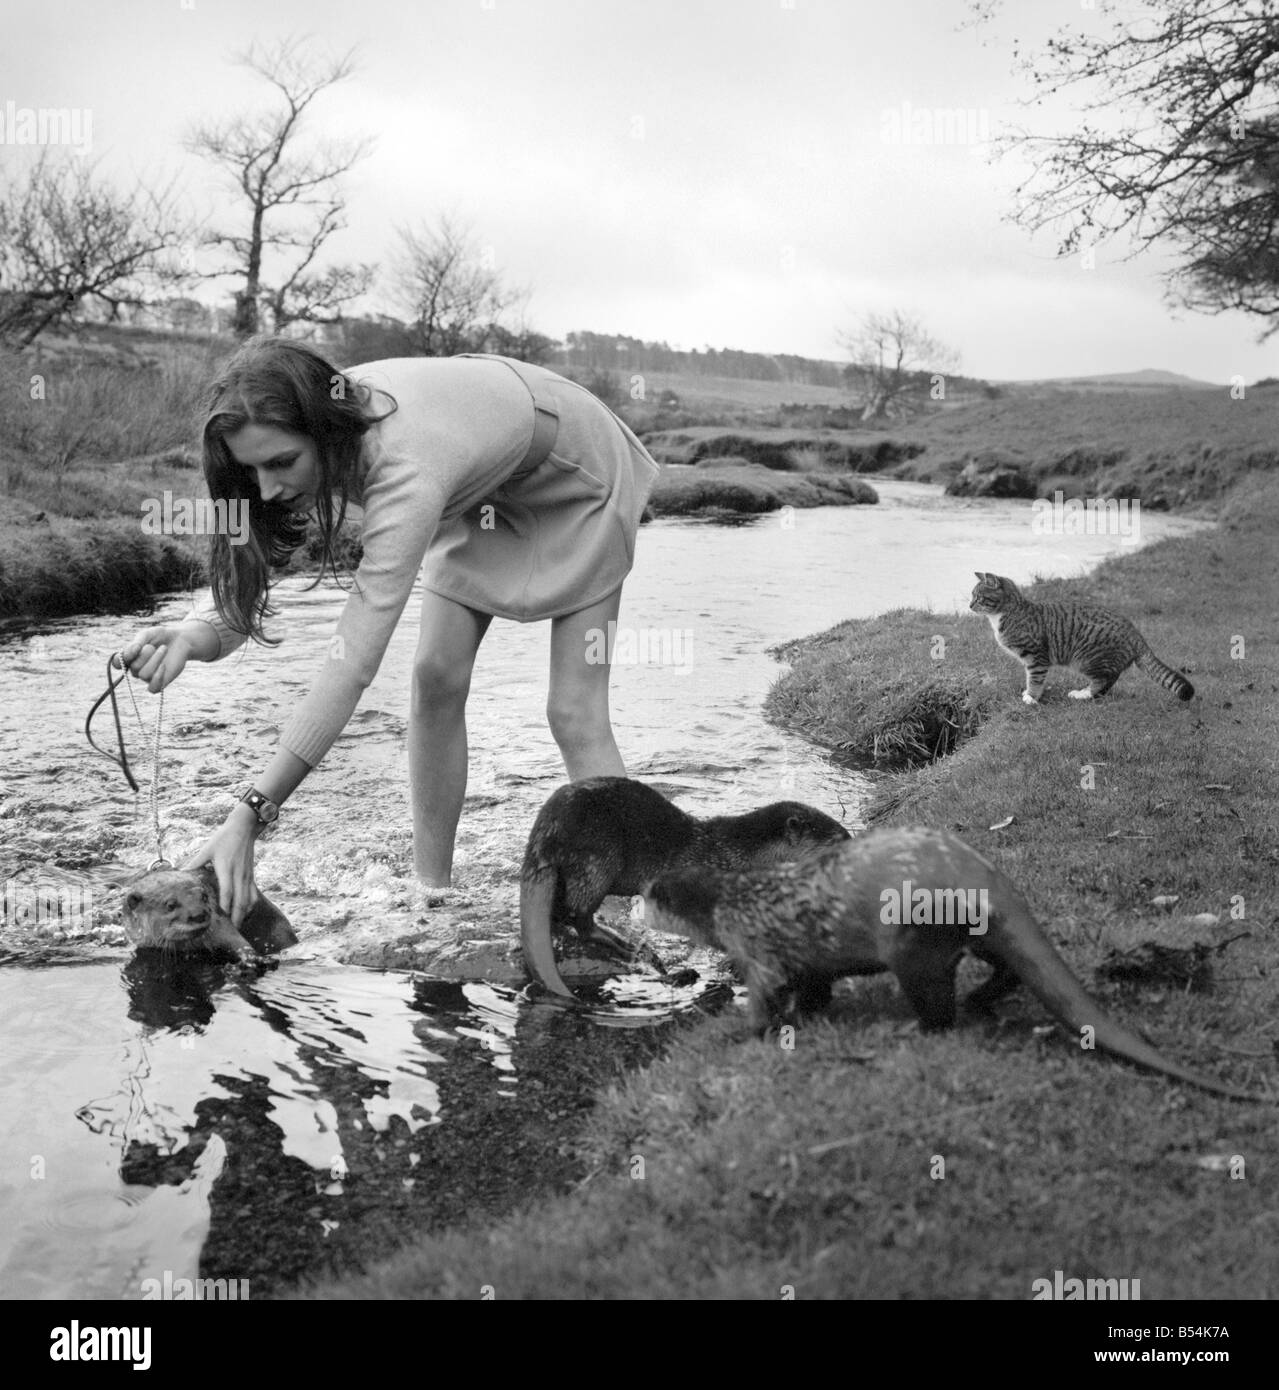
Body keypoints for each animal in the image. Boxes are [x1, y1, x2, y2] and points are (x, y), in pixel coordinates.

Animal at [122, 861, 297, 961]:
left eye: (204, 896)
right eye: (170, 905)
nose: (199, 914)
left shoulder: (219, 919)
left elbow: (235, 939)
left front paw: (250, 957)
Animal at [519, 783, 850, 1000]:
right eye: (838, 837)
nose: (853, 841)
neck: (735, 854)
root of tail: (544, 834)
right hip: (598, 857)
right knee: (579, 914)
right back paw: (619, 941)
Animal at [973, 572, 1195, 706]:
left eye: (978, 597)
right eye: (972, 595)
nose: (969, 605)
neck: (1008, 613)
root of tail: (1136, 633)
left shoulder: (1036, 657)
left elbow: (1035, 679)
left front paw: (1031, 697)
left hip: (1087, 659)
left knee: (1104, 679)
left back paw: (1083, 694)